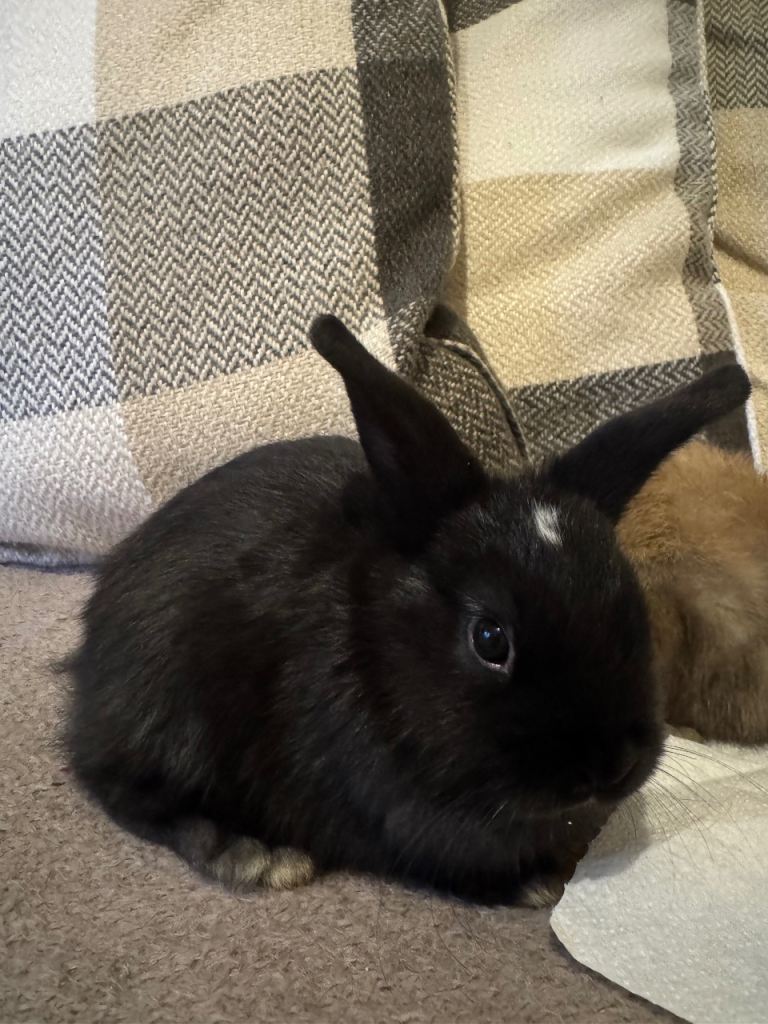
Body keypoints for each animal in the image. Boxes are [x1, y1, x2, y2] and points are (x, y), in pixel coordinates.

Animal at [64, 316, 750, 905]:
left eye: (632, 605)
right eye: (490, 639)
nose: (611, 767)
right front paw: (538, 885)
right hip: (170, 709)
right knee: (124, 791)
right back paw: (252, 853)